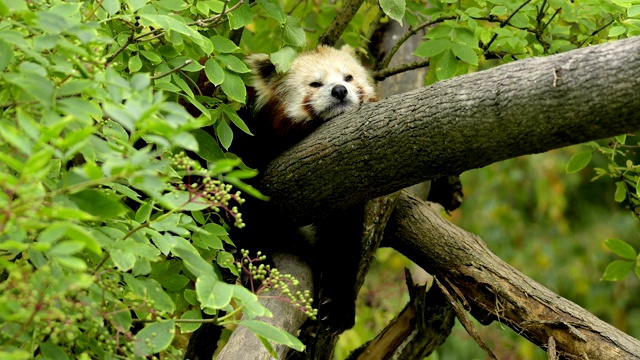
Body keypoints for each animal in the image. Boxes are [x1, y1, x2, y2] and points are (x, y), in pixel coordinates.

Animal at [230, 45, 378, 334]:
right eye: (315, 83)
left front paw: (338, 307)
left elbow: (342, 238)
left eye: (348, 77)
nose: (340, 91)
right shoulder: (245, 137)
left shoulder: (344, 182)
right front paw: (257, 264)